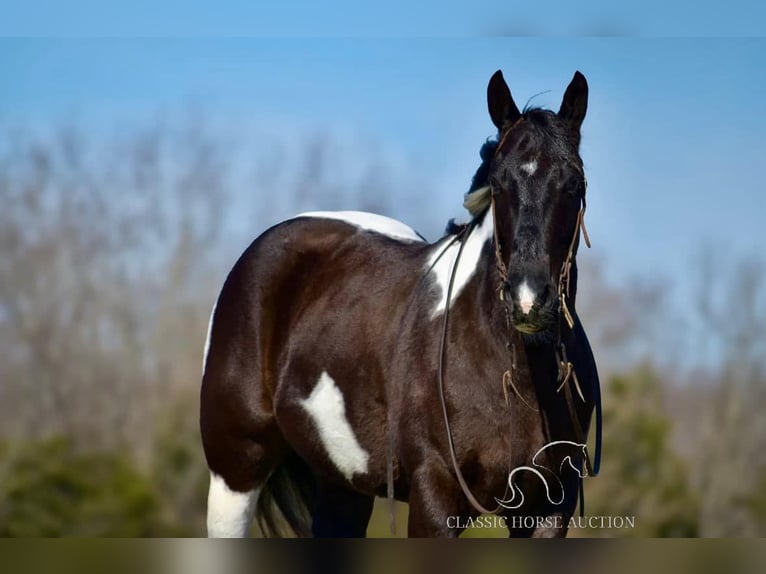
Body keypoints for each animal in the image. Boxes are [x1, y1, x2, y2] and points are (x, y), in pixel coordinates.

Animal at [201, 72, 604, 540]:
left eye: (574, 183)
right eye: (500, 183)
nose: (528, 300)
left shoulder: (547, 510)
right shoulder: (435, 497)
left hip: (343, 485)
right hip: (235, 470)